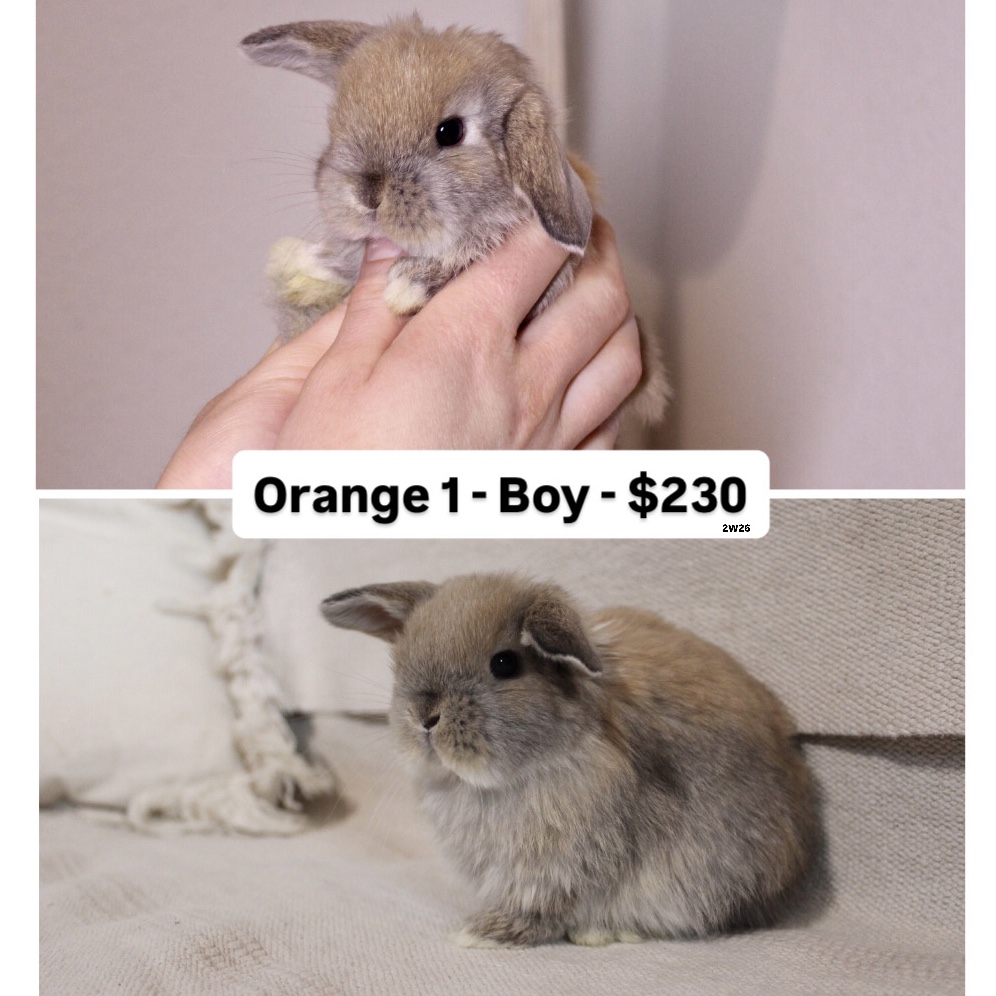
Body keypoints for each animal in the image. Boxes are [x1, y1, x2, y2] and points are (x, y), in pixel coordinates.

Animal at [321, 573, 816, 948]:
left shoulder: (561, 868)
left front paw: (486, 933)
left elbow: (545, 909)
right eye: (401, 663)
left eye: (505, 664)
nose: (424, 717)